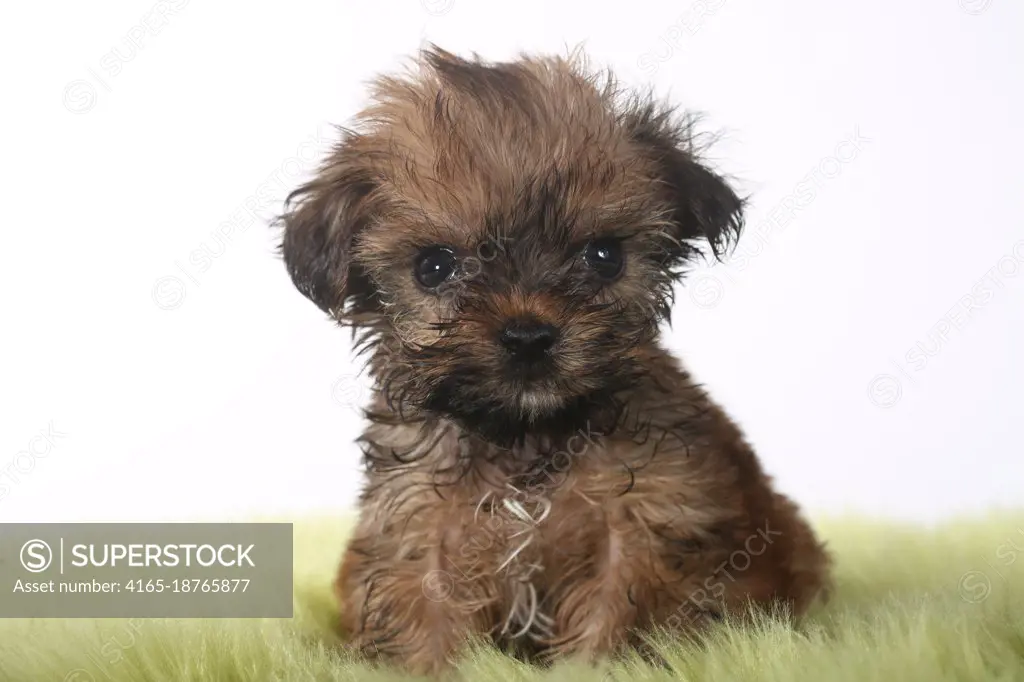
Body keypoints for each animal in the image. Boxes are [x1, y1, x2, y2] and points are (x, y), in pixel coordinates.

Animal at [280, 47, 831, 675]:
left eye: (605, 256)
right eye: (434, 267)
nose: (528, 336)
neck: (527, 440)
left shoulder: (643, 528)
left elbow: (614, 625)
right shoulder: (419, 527)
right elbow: (429, 624)